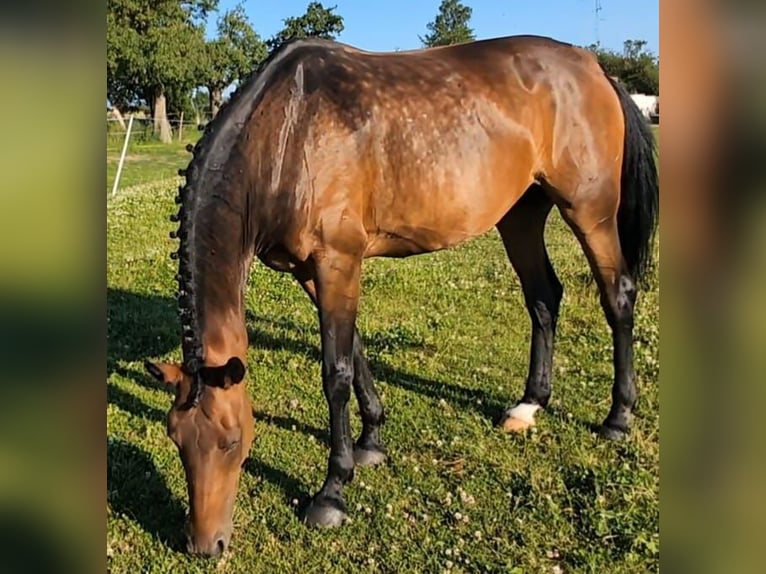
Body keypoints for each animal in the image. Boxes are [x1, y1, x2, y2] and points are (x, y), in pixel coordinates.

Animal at [144, 35, 660, 560]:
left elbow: (336, 373)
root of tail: (595, 68)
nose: (204, 546)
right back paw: (529, 405)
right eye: (175, 438)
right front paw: (371, 441)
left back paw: (618, 417)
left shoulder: (337, 261)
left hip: (590, 210)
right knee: (543, 297)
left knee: (617, 296)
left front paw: (332, 492)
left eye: (231, 441)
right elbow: (354, 354)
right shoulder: (312, 272)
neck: (287, 129)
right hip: (522, 212)